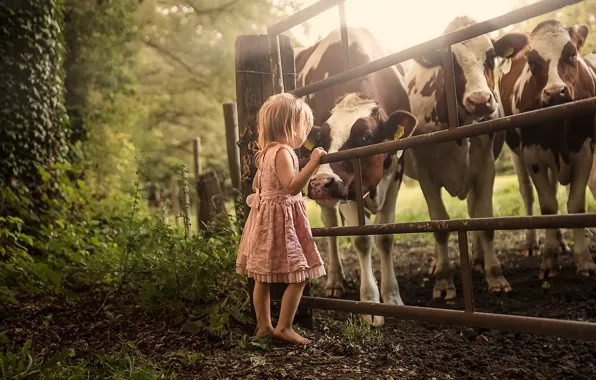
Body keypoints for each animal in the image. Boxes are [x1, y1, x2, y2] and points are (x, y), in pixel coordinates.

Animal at [294, 26, 416, 326]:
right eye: (322, 140)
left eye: (366, 136)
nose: (320, 183)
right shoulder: (347, 191)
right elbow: (361, 238)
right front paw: (370, 302)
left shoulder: (396, 172)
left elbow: (385, 236)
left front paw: (392, 297)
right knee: (330, 226)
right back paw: (335, 280)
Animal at [406, 16, 532, 298]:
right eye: (449, 61)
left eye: (491, 56)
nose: (480, 100)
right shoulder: (425, 174)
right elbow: (439, 225)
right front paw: (443, 280)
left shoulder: (485, 167)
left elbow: (484, 220)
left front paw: (495, 276)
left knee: (474, 211)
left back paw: (477, 259)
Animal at [498, 19, 596, 278]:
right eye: (532, 61)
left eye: (572, 54)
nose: (555, 92)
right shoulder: (533, 155)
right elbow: (548, 206)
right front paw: (549, 260)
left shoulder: (585, 150)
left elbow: (575, 205)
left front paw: (584, 260)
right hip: (516, 153)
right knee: (528, 193)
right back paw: (533, 244)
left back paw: (561, 242)